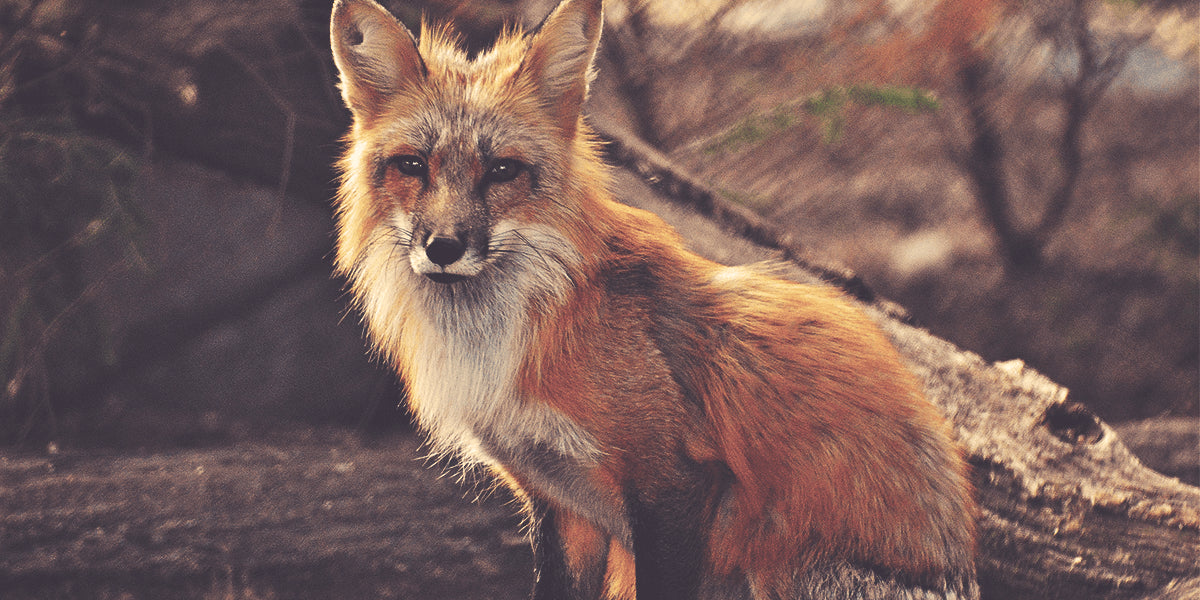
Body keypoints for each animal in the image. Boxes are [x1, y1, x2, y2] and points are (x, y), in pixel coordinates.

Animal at [328, 0, 977, 598]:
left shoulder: (675, 485)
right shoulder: (563, 506)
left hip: (778, 571)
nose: (443, 247)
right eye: (412, 165)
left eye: (503, 171)